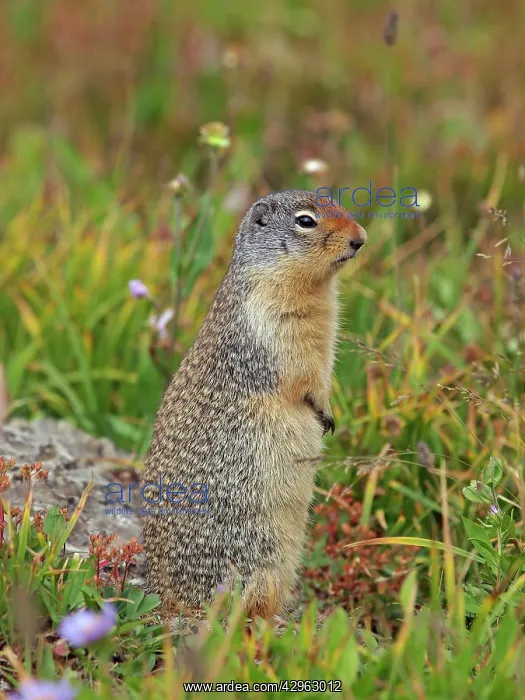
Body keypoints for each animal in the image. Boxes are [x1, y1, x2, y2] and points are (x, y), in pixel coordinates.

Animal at [140, 190, 366, 620]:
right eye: (306, 221)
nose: (361, 238)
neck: (315, 290)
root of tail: (164, 598)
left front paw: (329, 414)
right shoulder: (273, 328)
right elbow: (302, 377)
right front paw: (322, 411)